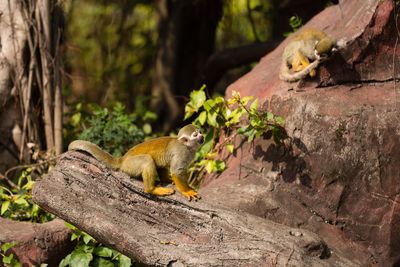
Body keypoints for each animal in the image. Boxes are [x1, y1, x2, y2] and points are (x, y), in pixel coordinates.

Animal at [68, 125, 203, 201]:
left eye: (200, 132)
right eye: (195, 135)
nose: (202, 136)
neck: (188, 147)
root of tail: (122, 159)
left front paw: (188, 187)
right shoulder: (182, 153)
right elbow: (176, 171)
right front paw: (187, 191)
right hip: (130, 165)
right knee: (147, 159)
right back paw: (151, 189)